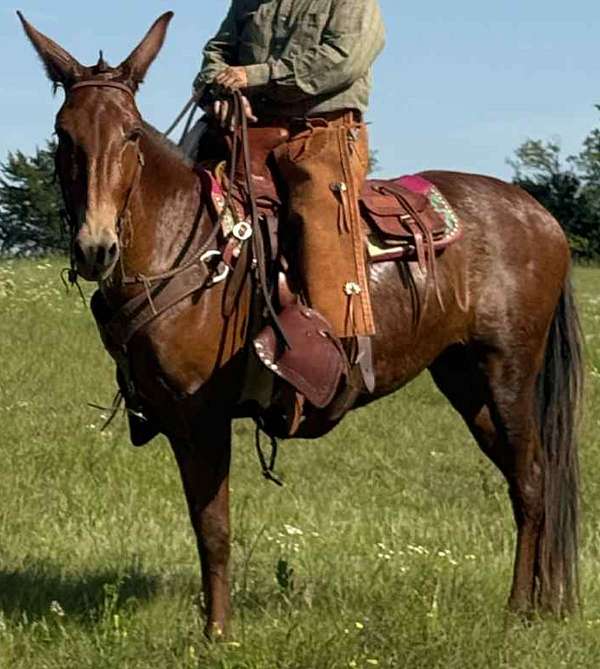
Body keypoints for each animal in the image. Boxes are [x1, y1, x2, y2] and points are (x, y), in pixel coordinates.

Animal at [19, 11, 584, 638]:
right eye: (63, 134)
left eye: (132, 135)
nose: (95, 248)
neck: (183, 243)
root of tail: (538, 213)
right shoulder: (175, 420)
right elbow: (201, 525)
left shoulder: (205, 416)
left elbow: (214, 529)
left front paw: (218, 636)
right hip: (463, 379)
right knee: (518, 478)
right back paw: (537, 603)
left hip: (509, 372)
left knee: (533, 481)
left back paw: (519, 611)